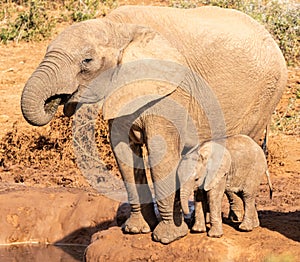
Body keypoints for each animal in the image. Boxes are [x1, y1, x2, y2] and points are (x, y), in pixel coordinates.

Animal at [19, 5, 288, 244]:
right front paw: (136, 230)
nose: (56, 100)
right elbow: (124, 154)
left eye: (87, 61)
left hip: (266, 95)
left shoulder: (170, 90)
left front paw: (167, 237)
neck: (117, 28)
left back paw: (237, 220)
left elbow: (161, 153)